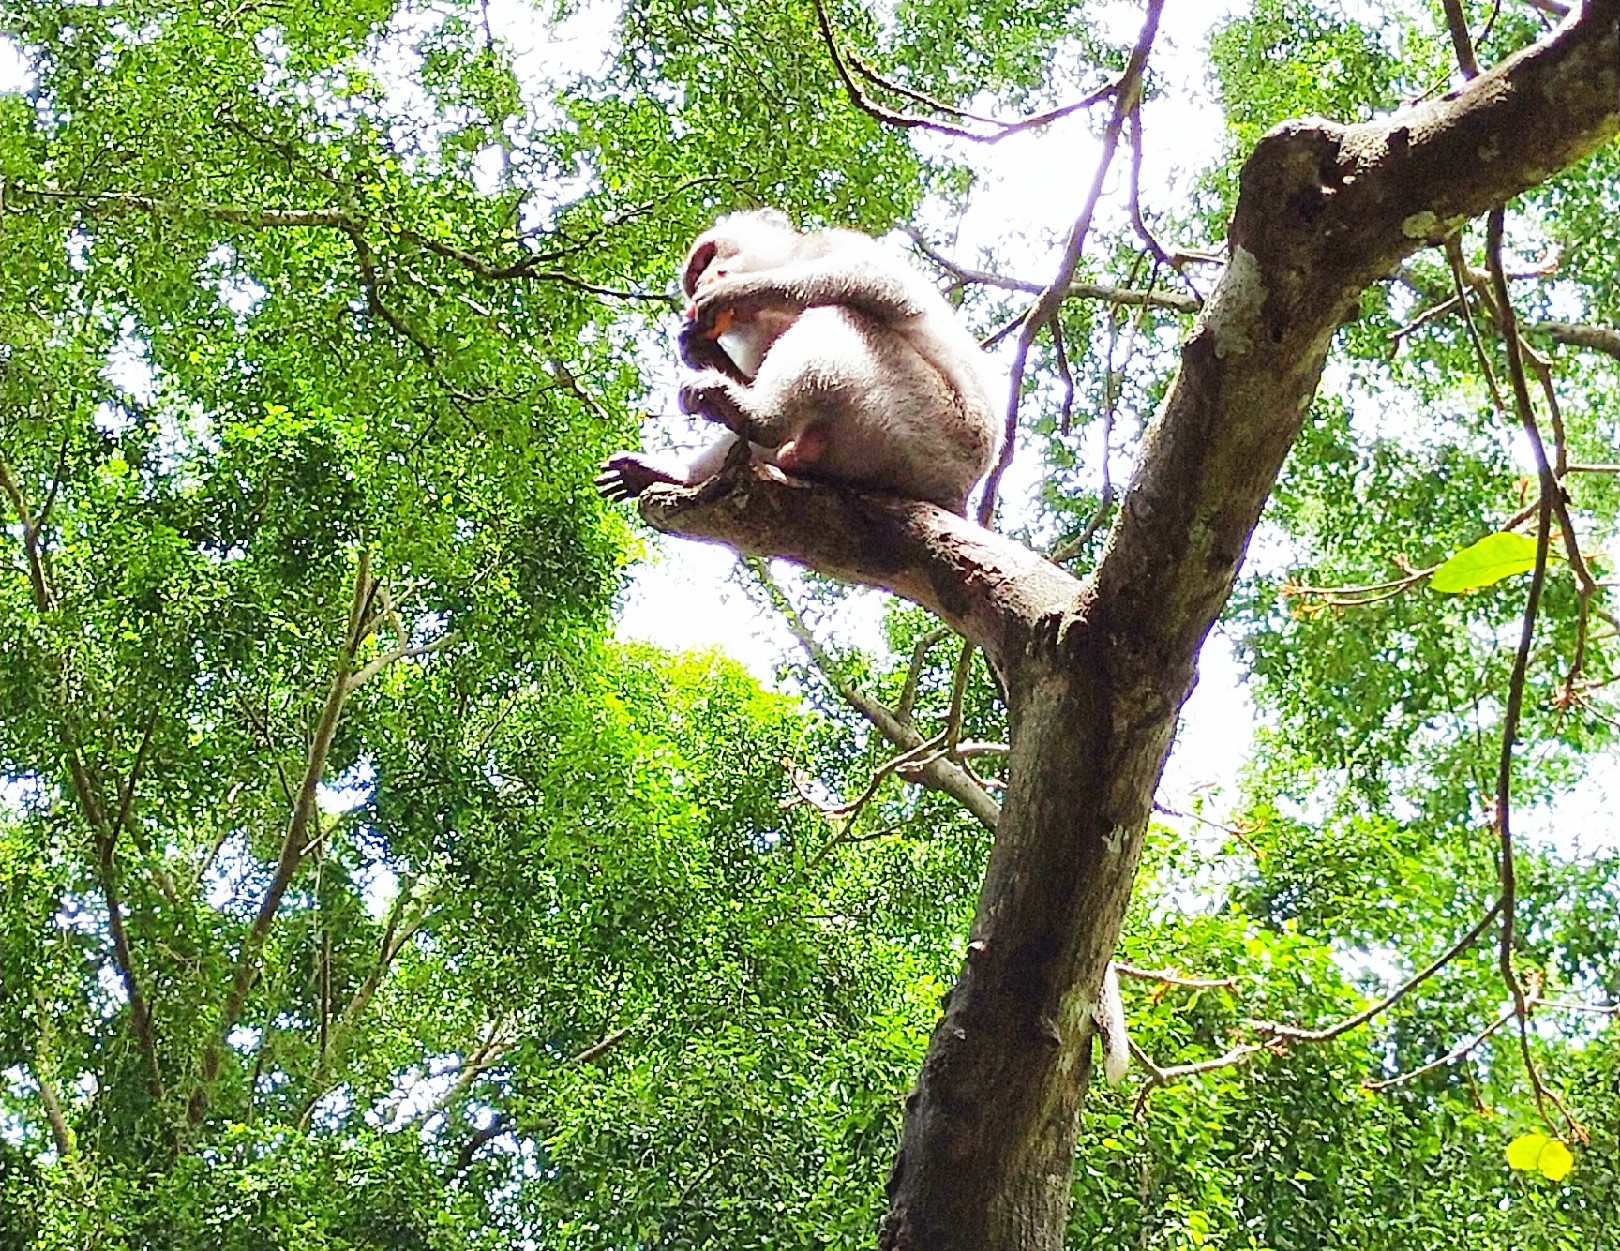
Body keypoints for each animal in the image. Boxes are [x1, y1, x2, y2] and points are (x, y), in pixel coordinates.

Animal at [596, 212, 997, 515]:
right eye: (694, 276)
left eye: (706, 258)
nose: (703, 280)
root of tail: (957, 493)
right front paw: (699, 348)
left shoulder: (828, 244)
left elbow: (883, 283)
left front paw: (737, 292)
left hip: (934, 431)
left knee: (836, 315)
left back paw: (757, 417)